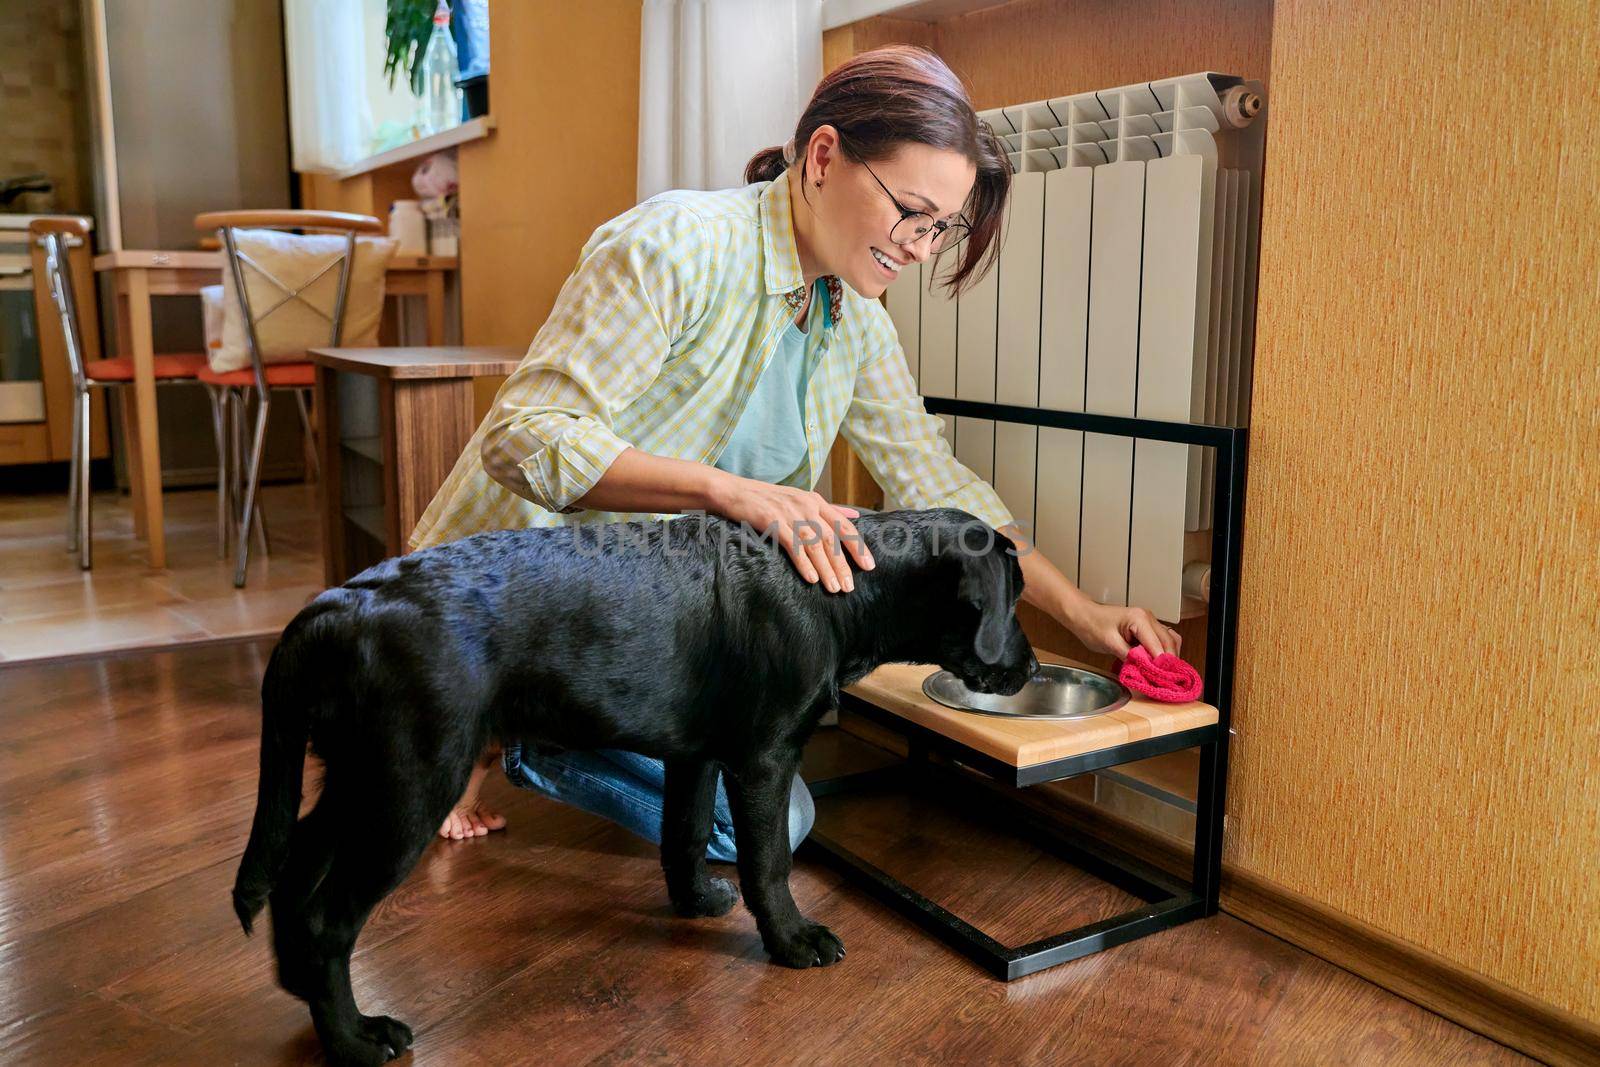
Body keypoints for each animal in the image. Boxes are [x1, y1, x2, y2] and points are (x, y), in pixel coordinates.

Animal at [233, 505, 1036, 1062]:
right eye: (1014, 600)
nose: (1029, 668)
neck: (847, 585)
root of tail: (331, 608)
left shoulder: (697, 753)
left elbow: (684, 831)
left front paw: (695, 902)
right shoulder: (764, 756)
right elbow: (769, 861)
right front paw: (792, 939)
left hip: (360, 777)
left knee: (294, 868)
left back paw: (298, 985)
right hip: (410, 784)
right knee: (327, 917)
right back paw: (354, 1038)